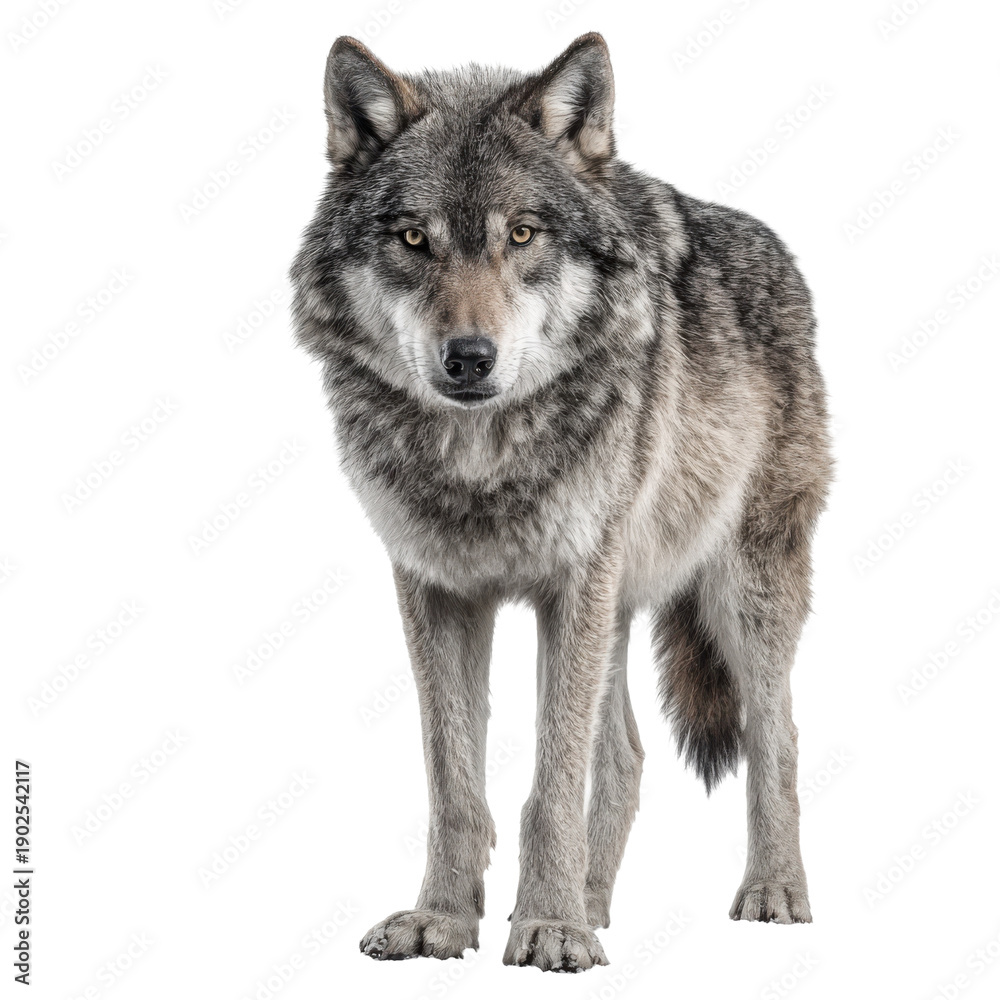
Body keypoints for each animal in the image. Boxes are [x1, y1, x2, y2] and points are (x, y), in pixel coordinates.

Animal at [290, 32, 832, 972]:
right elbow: (455, 781)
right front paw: (446, 920)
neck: (480, 459)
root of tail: (779, 250)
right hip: (618, 604)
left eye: (522, 234)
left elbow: (550, 783)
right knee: (626, 755)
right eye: (412, 238)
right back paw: (596, 904)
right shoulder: (437, 590)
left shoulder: (571, 584)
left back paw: (770, 892)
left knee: (778, 736)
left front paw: (547, 925)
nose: (469, 357)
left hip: (740, 591)